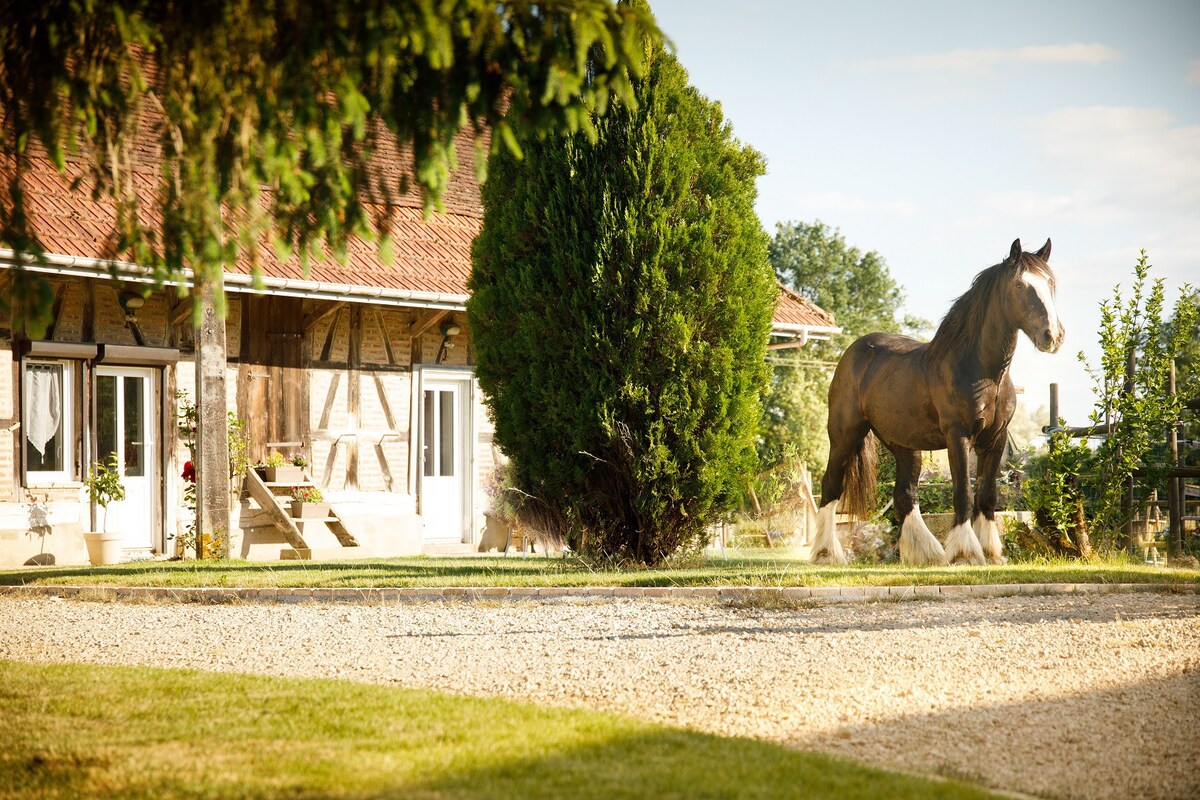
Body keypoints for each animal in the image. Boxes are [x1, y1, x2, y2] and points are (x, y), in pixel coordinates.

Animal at [811, 241, 1065, 566]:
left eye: (1051, 284)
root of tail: (853, 352)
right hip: (844, 434)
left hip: (903, 444)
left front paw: (991, 552)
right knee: (831, 486)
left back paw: (925, 553)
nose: (1053, 336)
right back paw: (826, 553)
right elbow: (963, 494)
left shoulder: (995, 440)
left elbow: (987, 495)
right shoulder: (959, 437)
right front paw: (965, 553)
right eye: (1020, 285)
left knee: (905, 494)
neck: (981, 371)